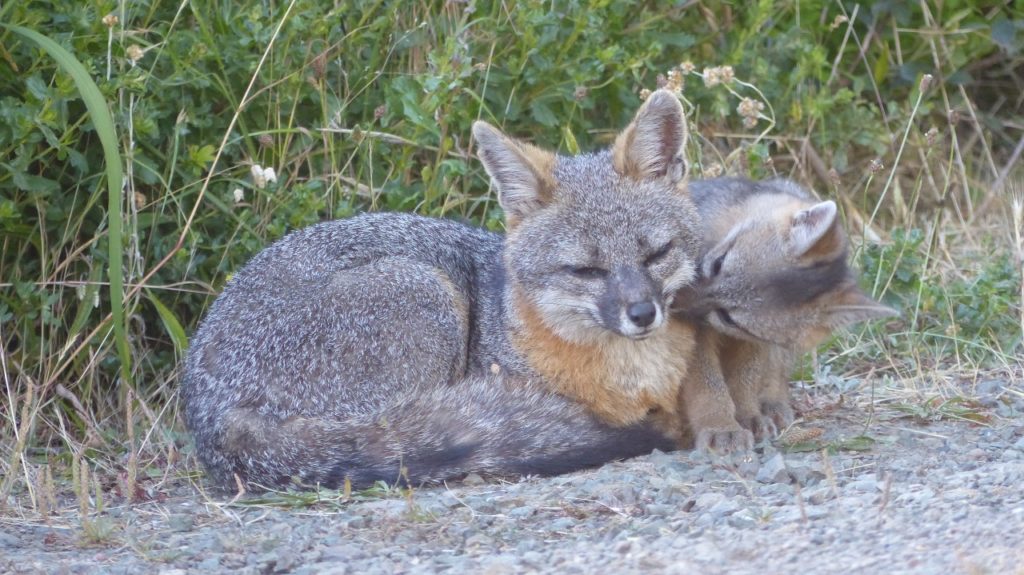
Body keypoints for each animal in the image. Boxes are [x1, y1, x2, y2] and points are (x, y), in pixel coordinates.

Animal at [182, 89, 704, 487]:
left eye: (657, 253)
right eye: (585, 270)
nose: (642, 314)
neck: (632, 377)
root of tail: (209, 416)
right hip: (426, 292)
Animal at [671, 177, 897, 446]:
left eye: (728, 318)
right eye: (718, 264)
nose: (671, 302)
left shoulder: (748, 340)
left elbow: (744, 380)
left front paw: (748, 415)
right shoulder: (697, 336)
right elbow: (707, 385)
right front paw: (720, 426)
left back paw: (772, 404)